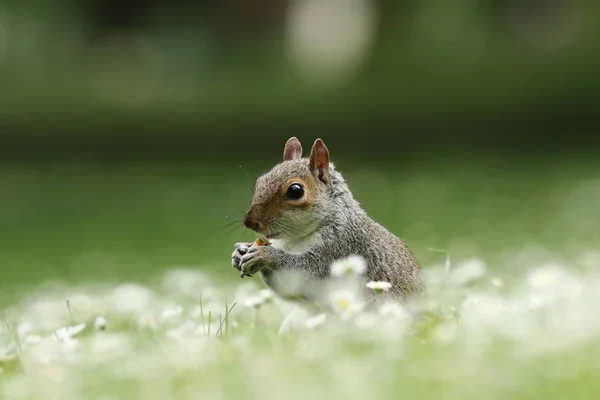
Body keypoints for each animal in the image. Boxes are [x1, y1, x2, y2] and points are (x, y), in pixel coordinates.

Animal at [232, 138, 424, 306]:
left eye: (295, 190)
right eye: (259, 182)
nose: (250, 222)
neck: (294, 240)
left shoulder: (339, 247)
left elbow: (306, 270)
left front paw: (265, 255)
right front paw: (240, 252)